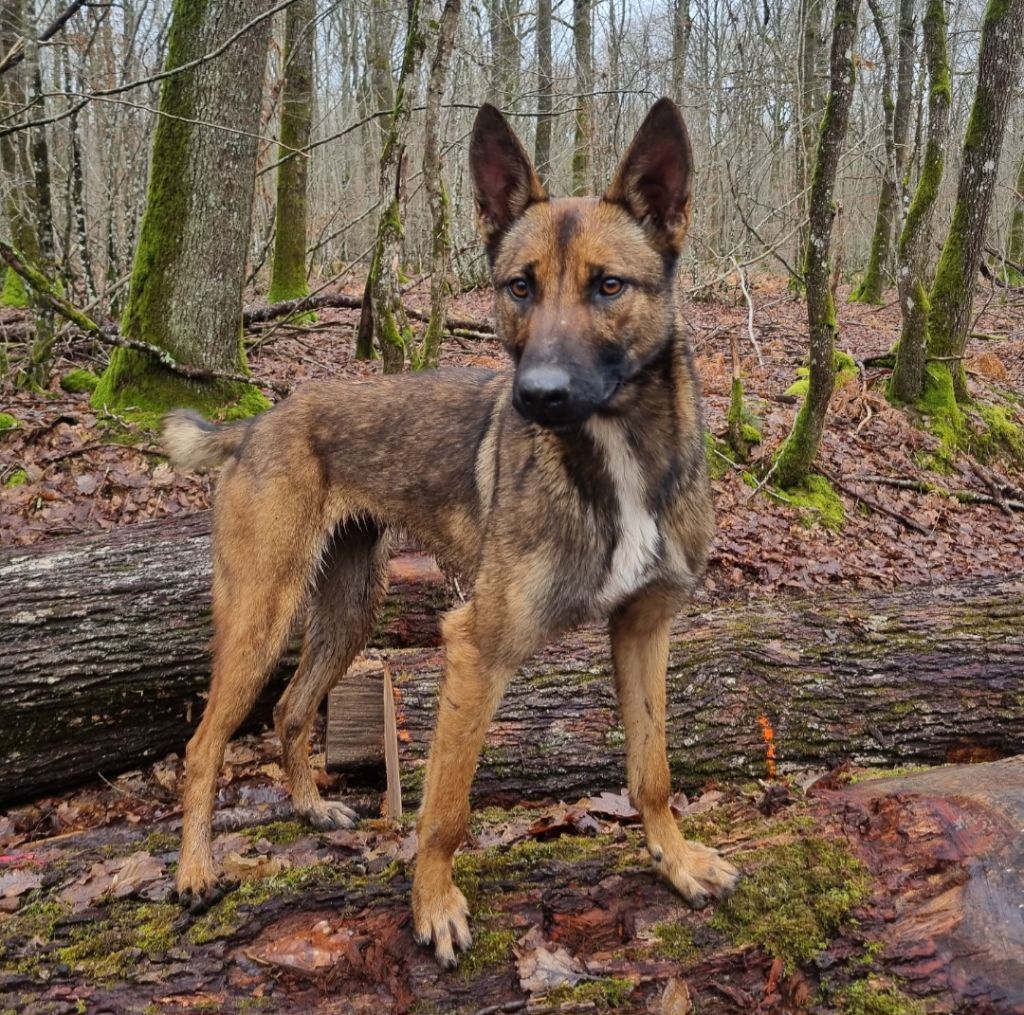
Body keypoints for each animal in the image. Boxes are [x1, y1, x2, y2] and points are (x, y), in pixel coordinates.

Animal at [161, 95, 737, 966]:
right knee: (204, 746)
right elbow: (446, 807)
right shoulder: (476, 645)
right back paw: (196, 868)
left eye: (609, 286)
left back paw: (310, 806)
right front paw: (433, 904)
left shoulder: (645, 628)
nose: (538, 395)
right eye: (519, 287)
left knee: (292, 709)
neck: (615, 455)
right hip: (262, 613)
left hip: (349, 611)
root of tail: (262, 421)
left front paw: (673, 858)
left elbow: (652, 769)